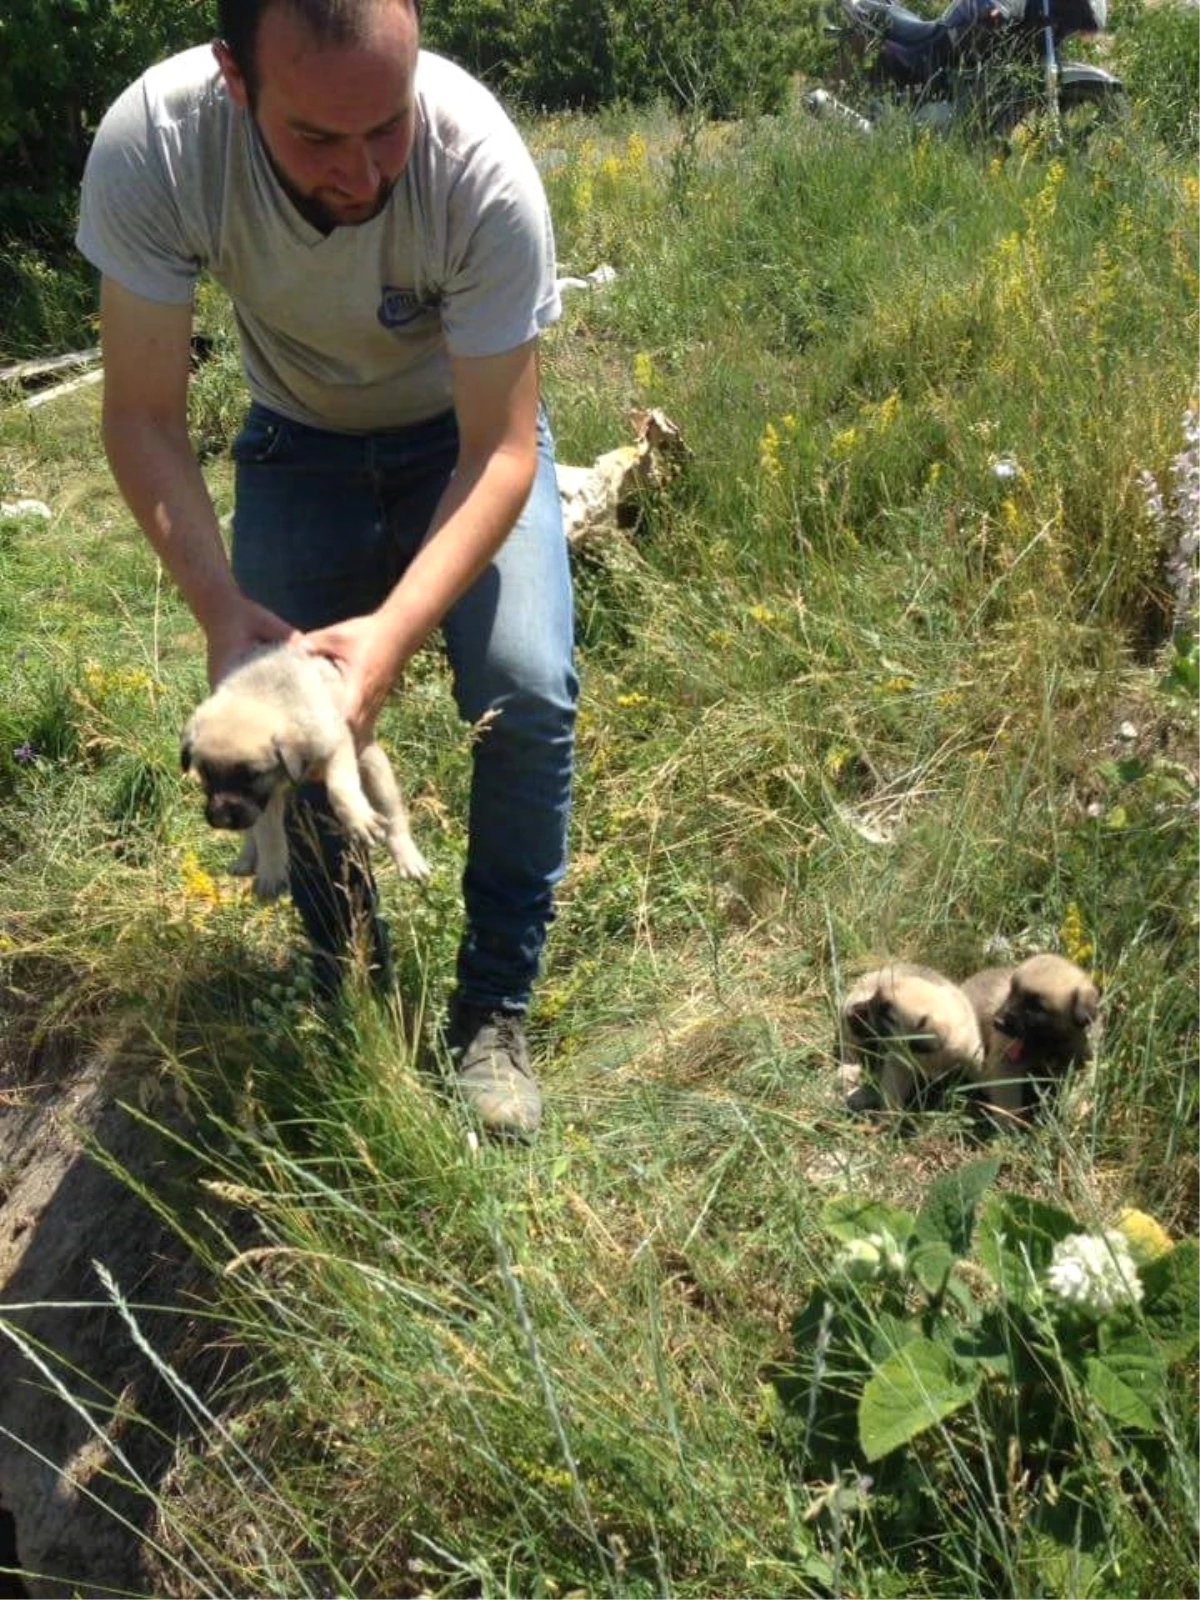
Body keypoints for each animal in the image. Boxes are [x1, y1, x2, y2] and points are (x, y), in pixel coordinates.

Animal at [183, 646, 432, 902]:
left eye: (251, 775)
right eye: (205, 774)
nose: (220, 819)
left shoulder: (337, 744)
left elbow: (340, 788)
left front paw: (359, 819)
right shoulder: (266, 799)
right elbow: (268, 834)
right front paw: (271, 873)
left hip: (372, 762)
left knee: (393, 815)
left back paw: (408, 857)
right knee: (252, 832)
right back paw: (247, 857)